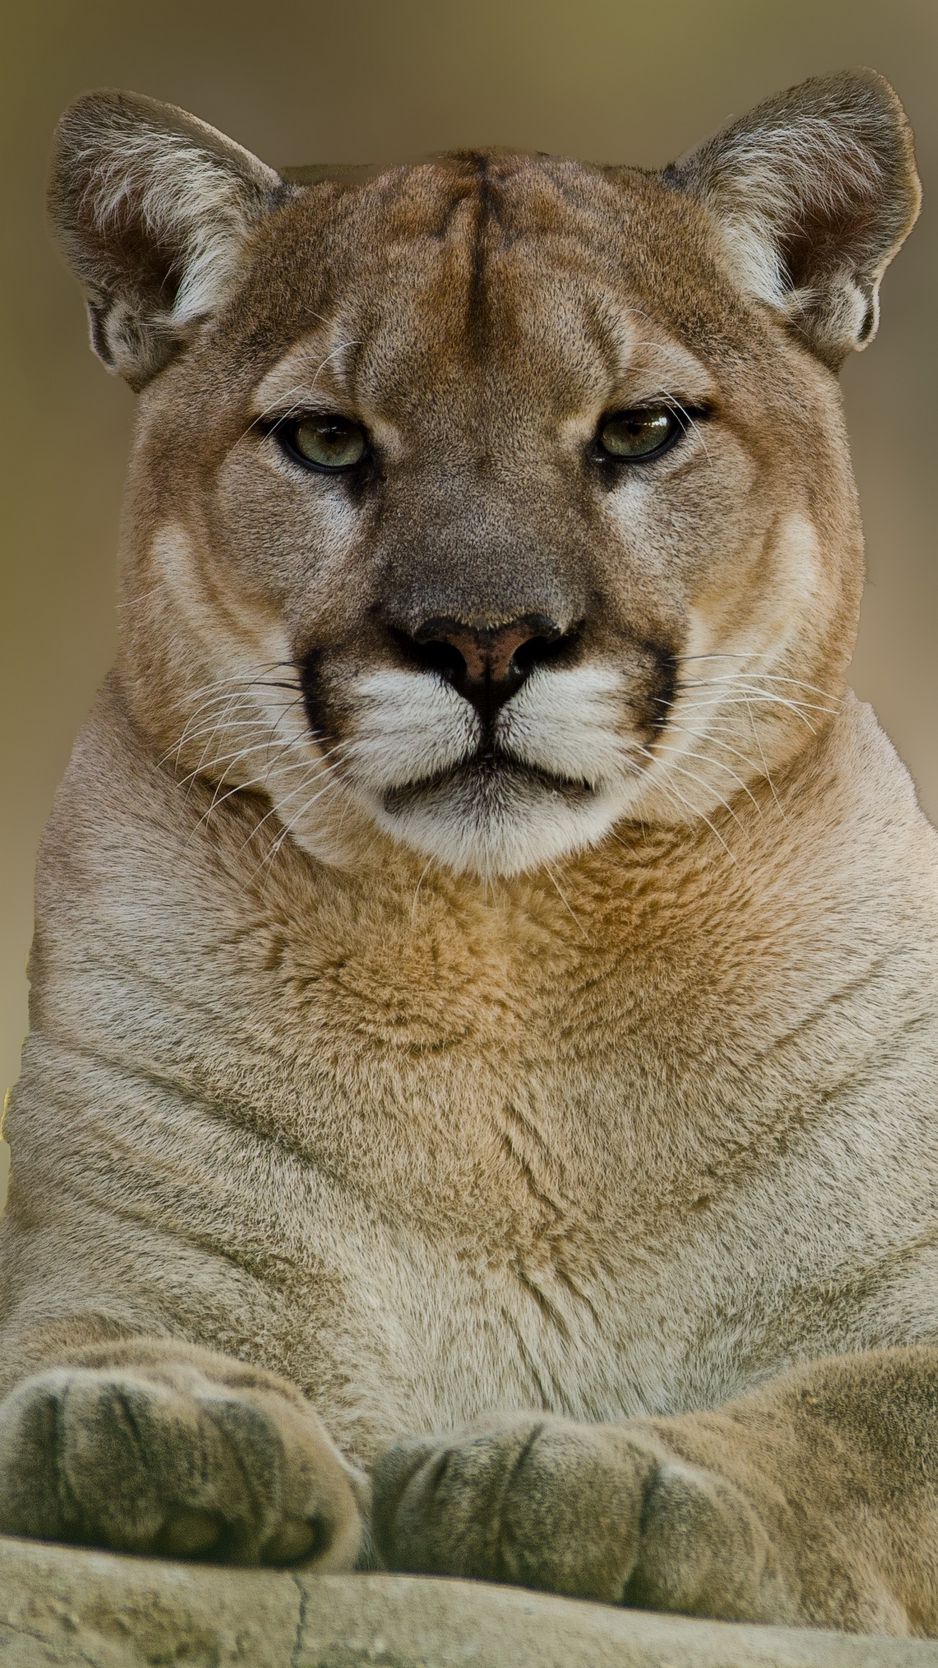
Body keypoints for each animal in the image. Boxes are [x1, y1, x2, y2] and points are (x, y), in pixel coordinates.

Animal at [1, 67, 936, 1634]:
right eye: (325, 440)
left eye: (640, 430)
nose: (484, 641)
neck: (515, 970)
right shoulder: (115, 1256)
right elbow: (82, 1341)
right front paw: (146, 1418)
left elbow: (851, 1423)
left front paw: (599, 1474)